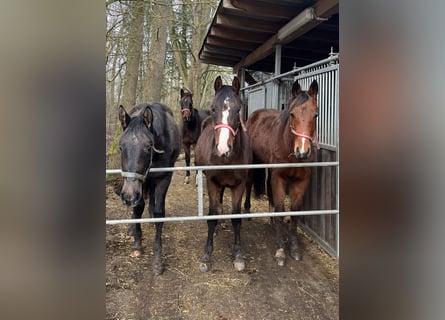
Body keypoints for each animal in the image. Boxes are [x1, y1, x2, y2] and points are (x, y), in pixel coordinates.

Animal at [119, 102, 181, 276]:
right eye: (121, 147)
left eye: (148, 147)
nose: (128, 196)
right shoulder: (141, 183)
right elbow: (138, 208)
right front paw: (137, 243)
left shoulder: (164, 178)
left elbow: (159, 213)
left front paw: (157, 261)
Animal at [194, 75, 250, 272]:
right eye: (213, 108)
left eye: (238, 109)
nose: (223, 149)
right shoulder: (212, 183)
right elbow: (211, 216)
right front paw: (206, 255)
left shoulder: (239, 185)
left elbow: (237, 218)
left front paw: (238, 255)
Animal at [243, 80, 320, 268]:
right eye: (292, 114)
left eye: (315, 115)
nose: (302, 152)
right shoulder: (279, 178)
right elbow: (280, 210)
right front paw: (280, 251)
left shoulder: (301, 181)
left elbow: (294, 213)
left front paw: (294, 249)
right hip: (254, 162)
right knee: (249, 183)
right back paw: (247, 210)